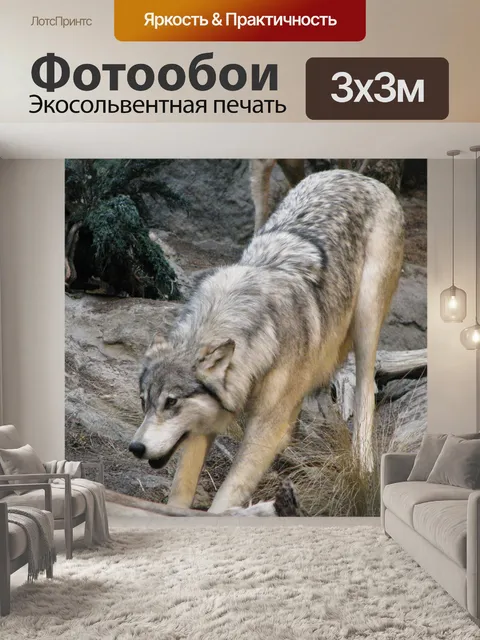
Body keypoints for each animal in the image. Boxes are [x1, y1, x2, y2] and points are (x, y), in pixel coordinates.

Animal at [129, 169, 404, 513]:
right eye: (144, 401)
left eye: (171, 402)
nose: (136, 447)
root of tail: (357, 175)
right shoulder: (205, 426)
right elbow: (180, 490)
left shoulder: (264, 429)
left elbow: (227, 495)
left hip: (366, 317)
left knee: (366, 388)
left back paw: (363, 462)